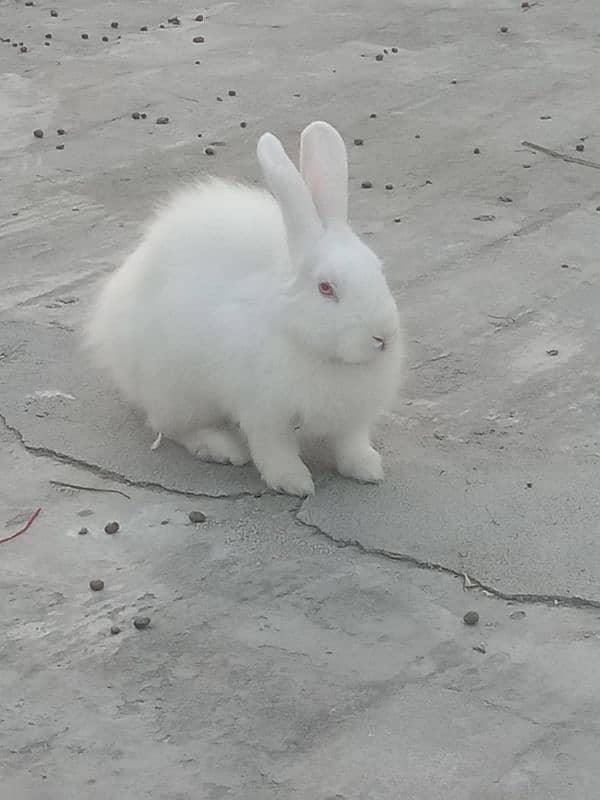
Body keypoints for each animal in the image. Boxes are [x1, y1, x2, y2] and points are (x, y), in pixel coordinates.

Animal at [85, 120, 404, 494]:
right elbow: (274, 450)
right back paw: (221, 448)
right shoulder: (264, 412)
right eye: (326, 288)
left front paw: (368, 469)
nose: (383, 337)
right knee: (173, 426)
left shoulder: (352, 420)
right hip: (177, 389)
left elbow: (351, 444)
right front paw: (294, 482)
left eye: (378, 268)